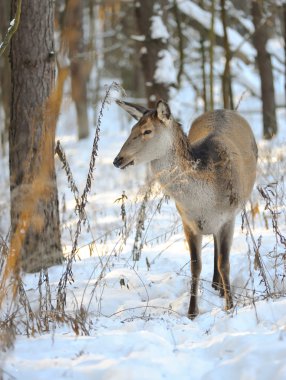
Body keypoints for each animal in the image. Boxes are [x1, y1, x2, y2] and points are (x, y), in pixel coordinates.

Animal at [113, 99, 258, 320]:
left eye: (147, 131)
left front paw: (230, 306)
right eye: (132, 129)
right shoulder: (187, 221)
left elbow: (224, 263)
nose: (117, 159)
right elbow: (195, 265)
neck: (204, 202)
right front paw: (192, 312)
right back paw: (216, 286)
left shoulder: (228, 218)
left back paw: (221, 289)